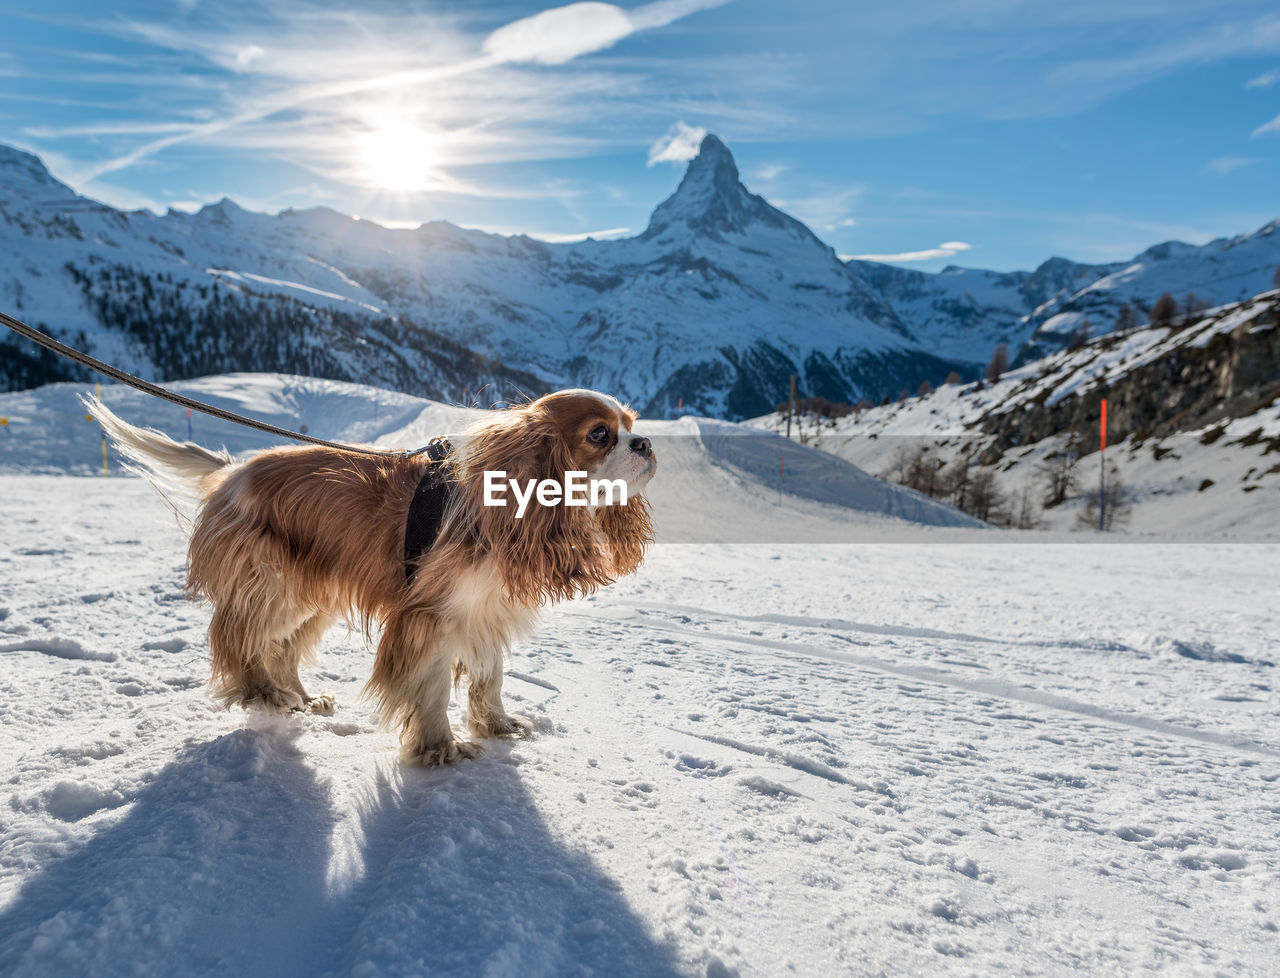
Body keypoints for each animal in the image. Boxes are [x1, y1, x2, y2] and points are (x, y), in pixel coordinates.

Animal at [85, 389, 655, 762]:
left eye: (632, 423)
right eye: (600, 435)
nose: (646, 444)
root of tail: (233, 473)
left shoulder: (483, 609)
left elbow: (489, 677)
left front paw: (497, 726)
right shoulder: (431, 617)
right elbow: (430, 687)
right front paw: (440, 747)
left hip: (312, 596)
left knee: (282, 647)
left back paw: (301, 698)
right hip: (272, 584)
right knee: (241, 638)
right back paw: (263, 693)